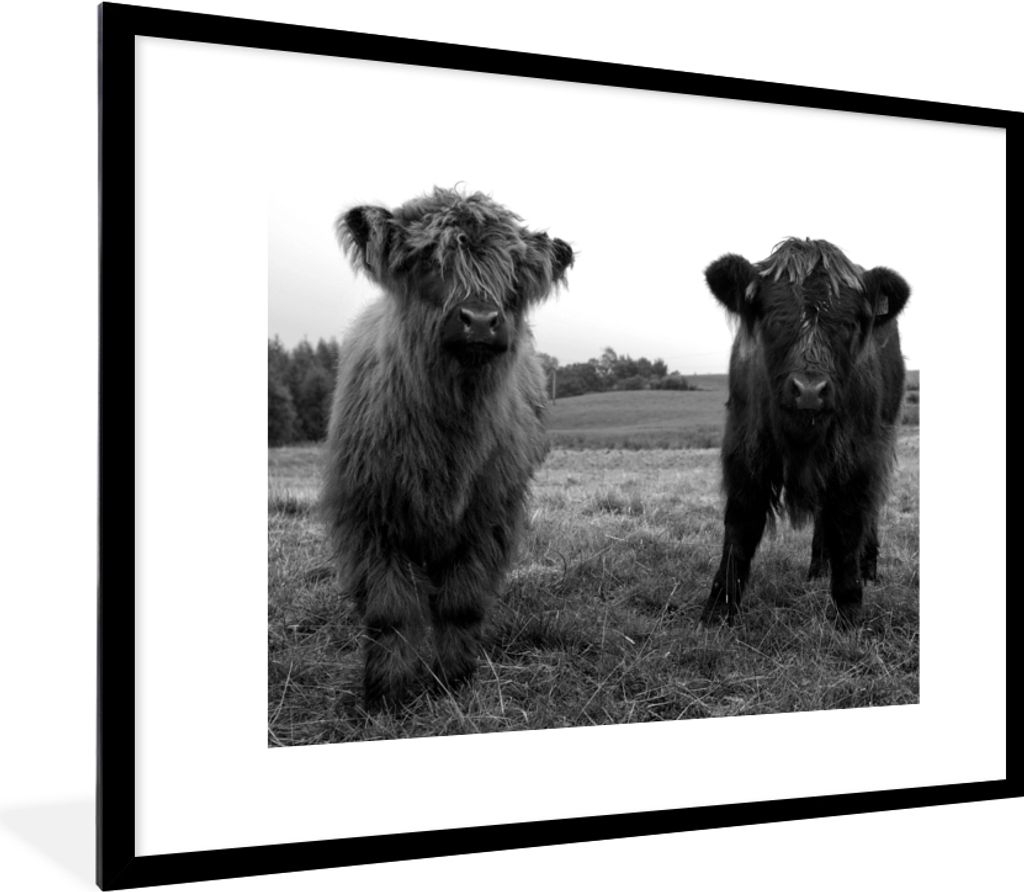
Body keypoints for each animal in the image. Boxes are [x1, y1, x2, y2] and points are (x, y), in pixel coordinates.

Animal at [321, 187, 573, 708]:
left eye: (511, 275)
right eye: (429, 262)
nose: (480, 320)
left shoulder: (488, 518)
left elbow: (462, 602)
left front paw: (454, 679)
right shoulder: (368, 517)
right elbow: (390, 611)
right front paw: (386, 694)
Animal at [700, 237, 910, 626]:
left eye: (849, 323)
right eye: (772, 317)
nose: (810, 390)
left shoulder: (858, 458)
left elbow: (848, 527)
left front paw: (848, 609)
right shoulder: (744, 450)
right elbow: (740, 527)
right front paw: (719, 608)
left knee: (867, 512)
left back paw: (868, 568)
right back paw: (817, 567)